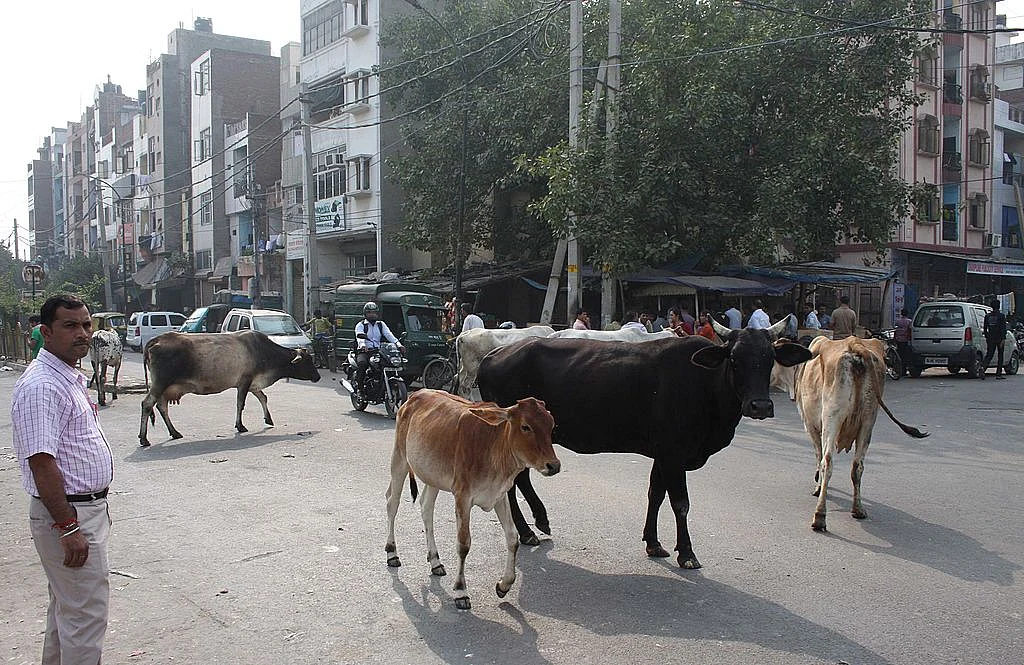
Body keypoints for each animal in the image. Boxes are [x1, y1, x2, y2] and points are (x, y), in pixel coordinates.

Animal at [139, 331, 321, 447]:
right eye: (307, 361)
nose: (318, 377)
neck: (264, 353)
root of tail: (156, 340)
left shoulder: (252, 383)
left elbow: (263, 397)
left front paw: (268, 419)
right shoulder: (245, 381)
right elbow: (241, 404)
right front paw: (240, 426)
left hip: (164, 387)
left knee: (162, 407)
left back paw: (175, 432)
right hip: (160, 383)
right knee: (147, 404)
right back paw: (144, 439)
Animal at [385, 389, 559, 610]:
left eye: (551, 425)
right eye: (525, 426)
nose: (554, 465)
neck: (494, 445)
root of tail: (416, 394)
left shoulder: (500, 496)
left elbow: (512, 538)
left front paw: (504, 585)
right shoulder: (462, 497)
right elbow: (463, 544)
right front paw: (461, 591)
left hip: (432, 475)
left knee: (426, 507)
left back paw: (435, 561)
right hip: (399, 459)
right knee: (392, 502)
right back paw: (392, 553)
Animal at [478, 316, 813, 569]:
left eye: (769, 359)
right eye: (734, 359)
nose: (760, 406)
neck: (705, 384)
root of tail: (492, 355)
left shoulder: (663, 454)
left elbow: (655, 494)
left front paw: (653, 542)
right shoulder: (674, 454)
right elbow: (680, 503)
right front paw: (687, 552)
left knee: (519, 480)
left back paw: (533, 526)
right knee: (515, 480)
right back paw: (530, 529)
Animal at [794, 336, 928, 532]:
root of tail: (856, 346)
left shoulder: (811, 426)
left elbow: (818, 456)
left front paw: (818, 487)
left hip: (832, 418)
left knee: (827, 462)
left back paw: (819, 516)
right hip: (868, 420)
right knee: (857, 466)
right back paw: (857, 509)